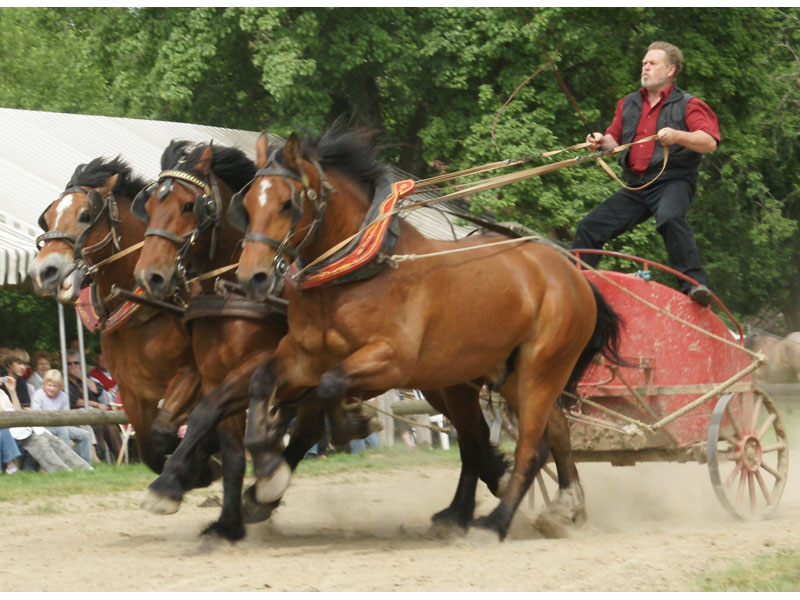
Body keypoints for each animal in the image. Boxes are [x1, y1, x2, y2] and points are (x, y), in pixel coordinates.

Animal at [234, 126, 620, 540]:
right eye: (247, 204)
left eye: (286, 203)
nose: (252, 277)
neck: (359, 271)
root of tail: (570, 272)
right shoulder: (303, 357)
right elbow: (262, 383)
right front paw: (267, 476)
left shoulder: (391, 362)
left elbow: (331, 386)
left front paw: (354, 422)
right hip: (495, 377)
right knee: (541, 434)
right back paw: (557, 507)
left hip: (541, 369)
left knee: (530, 447)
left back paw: (495, 523)